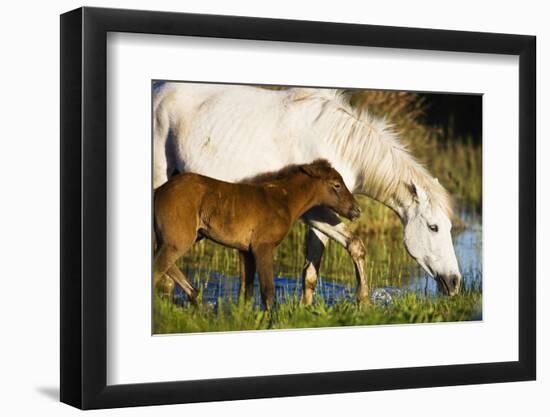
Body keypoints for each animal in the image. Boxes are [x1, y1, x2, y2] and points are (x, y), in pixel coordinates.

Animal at [155, 159, 362, 308]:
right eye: (337, 185)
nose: (356, 210)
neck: (285, 200)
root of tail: (157, 192)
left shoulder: (245, 250)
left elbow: (246, 291)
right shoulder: (263, 246)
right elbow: (268, 291)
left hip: (181, 237)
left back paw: (201, 303)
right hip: (178, 239)